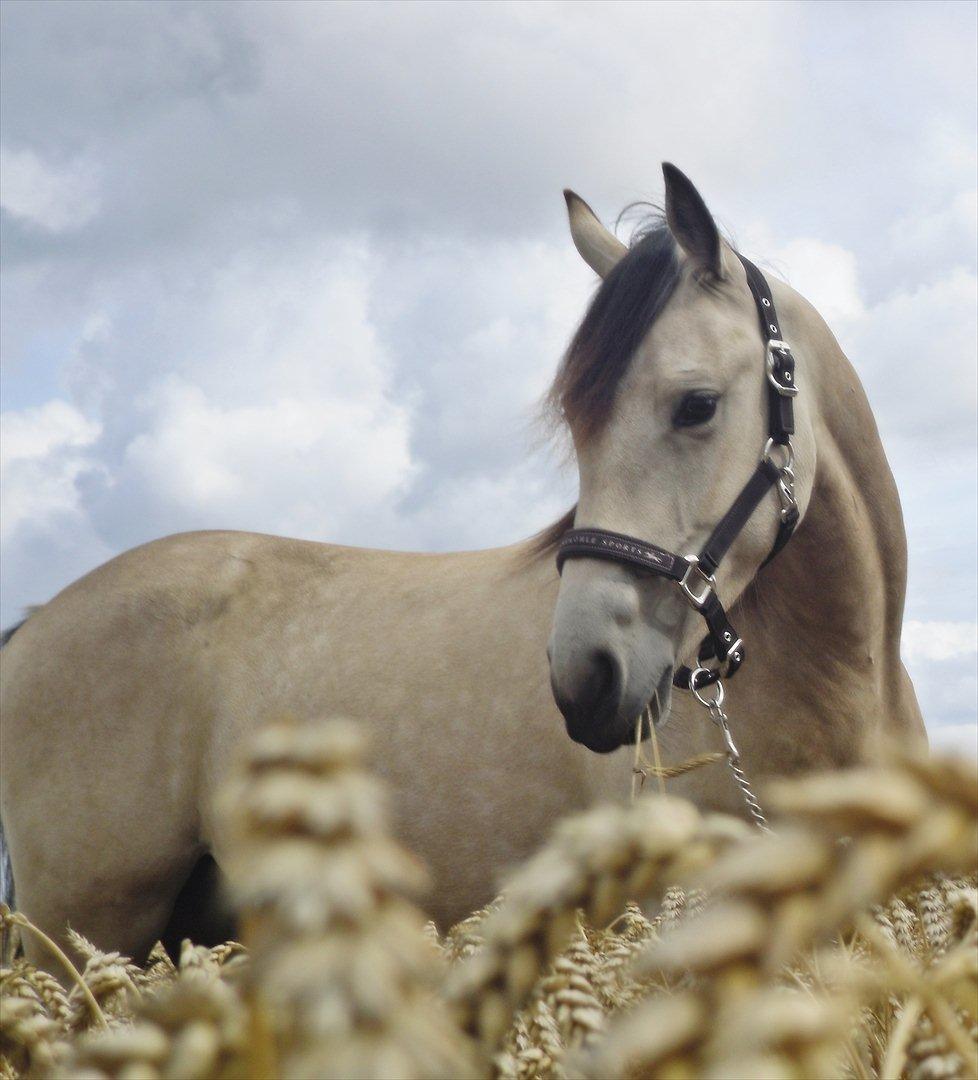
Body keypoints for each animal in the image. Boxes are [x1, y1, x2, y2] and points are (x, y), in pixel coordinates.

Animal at [0, 162, 924, 980]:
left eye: (695, 405)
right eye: (578, 427)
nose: (587, 677)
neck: (839, 686)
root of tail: (35, 622)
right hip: (87, 933)